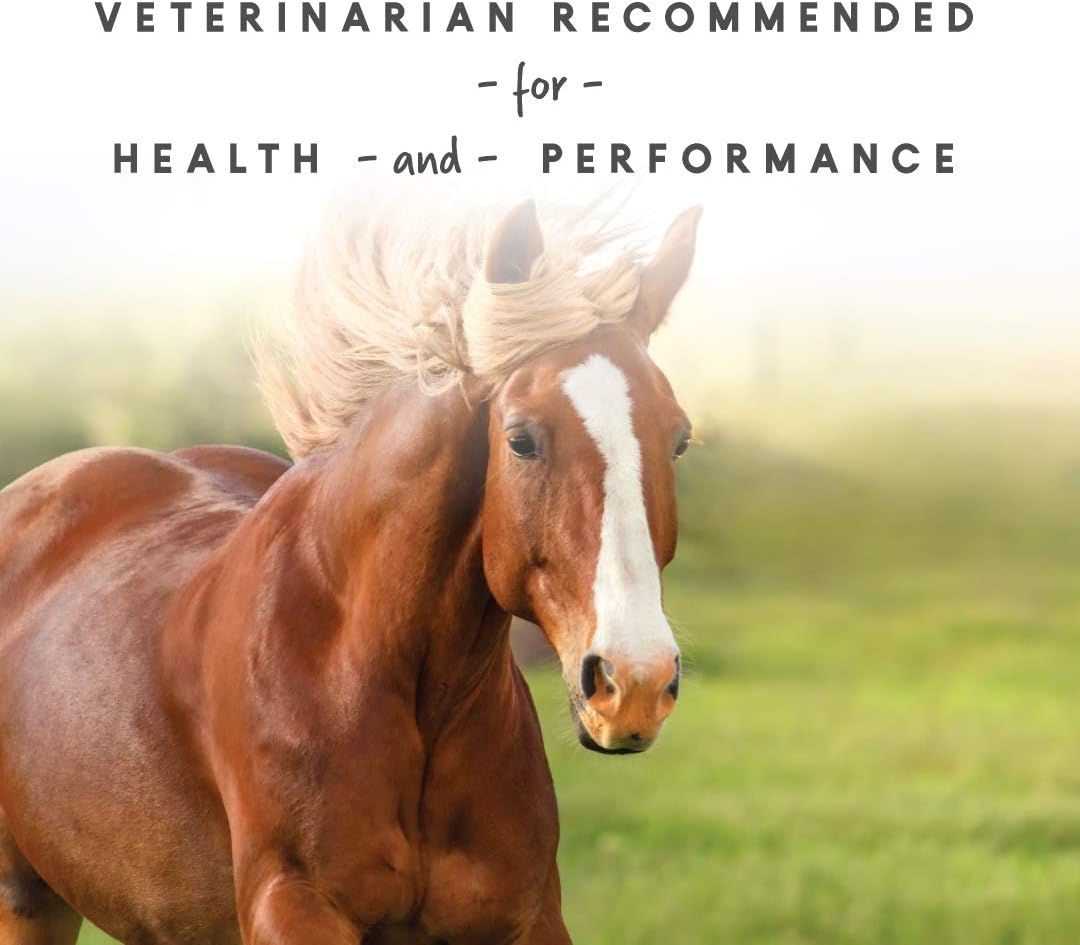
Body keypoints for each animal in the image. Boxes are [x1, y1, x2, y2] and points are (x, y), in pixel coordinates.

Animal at [0, 198, 701, 944]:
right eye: (521, 439)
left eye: (679, 439)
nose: (635, 683)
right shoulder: (293, 905)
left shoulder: (529, 915)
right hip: (26, 897)